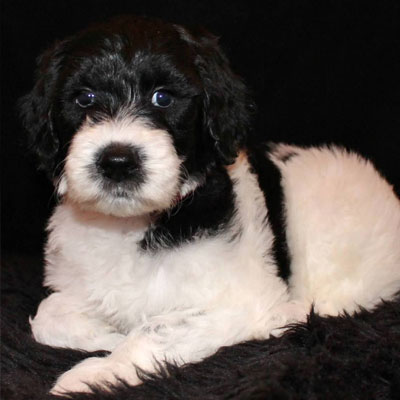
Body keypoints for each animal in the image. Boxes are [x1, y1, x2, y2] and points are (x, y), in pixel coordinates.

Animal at [19, 15, 400, 394]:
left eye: (163, 98)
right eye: (84, 98)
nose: (117, 161)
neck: (130, 223)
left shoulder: (236, 301)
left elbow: (155, 330)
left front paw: (97, 373)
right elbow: (47, 315)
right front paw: (107, 336)